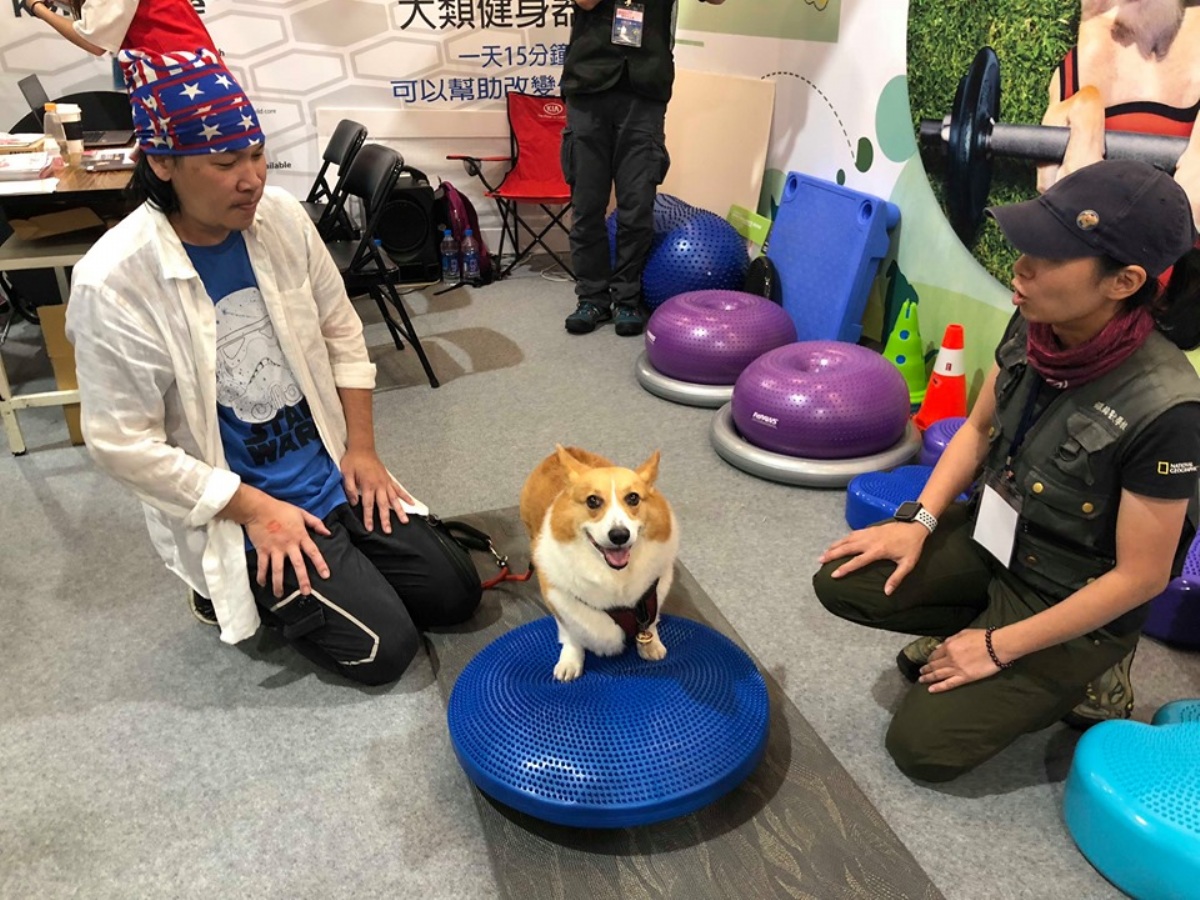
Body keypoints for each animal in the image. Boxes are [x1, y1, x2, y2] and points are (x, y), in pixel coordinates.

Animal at [519, 445, 679, 682]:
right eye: (592, 501)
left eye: (633, 498)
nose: (620, 535)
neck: (615, 576)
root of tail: (562, 452)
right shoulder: (557, 601)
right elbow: (572, 635)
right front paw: (570, 662)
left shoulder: (653, 594)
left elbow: (650, 621)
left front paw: (650, 644)